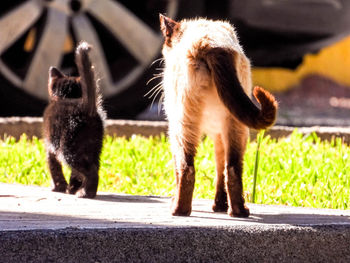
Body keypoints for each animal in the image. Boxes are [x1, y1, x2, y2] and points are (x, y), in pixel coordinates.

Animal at [42, 40, 104, 198]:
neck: (67, 97)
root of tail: (86, 107)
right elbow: (74, 175)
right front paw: (71, 188)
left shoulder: (50, 146)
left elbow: (54, 167)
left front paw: (58, 187)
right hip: (95, 147)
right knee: (94, 166)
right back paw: (85, 191)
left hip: (68, 148)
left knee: (90, 170)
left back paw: (85, 193)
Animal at [158, 13, 276, 218]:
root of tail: (213, 46)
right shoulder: (219, 135)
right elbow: (220, 170)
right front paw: (219, 206)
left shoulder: (176, 128)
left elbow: (178, 170)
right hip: (236, 127)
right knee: (233, 169)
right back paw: (238, 212)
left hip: (182, 125)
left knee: (187, 168)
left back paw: (179, 211)